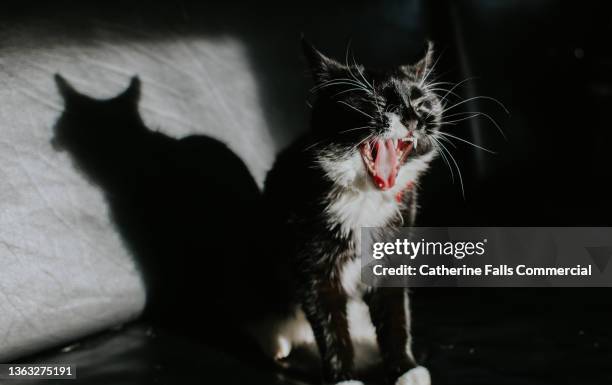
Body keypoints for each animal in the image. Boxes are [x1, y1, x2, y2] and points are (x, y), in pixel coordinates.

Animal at [247, 41, 440, 384]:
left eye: (421, 102)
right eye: (377, 100)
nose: (413, 118)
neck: (364, 197)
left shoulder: (397, 237)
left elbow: (395, 311)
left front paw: (406, 369)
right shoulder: (310, 257)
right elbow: (328, 319)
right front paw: (344, 377)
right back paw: (276, 339)